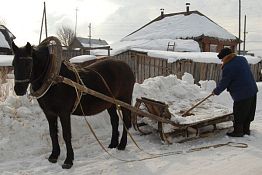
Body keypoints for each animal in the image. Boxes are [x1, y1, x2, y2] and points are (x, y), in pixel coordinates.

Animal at [11, 40, 136, 168]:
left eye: (28, 64)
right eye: (13, 64)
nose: (18, 89)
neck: (53, 80)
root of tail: (126, 66)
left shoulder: (64, 113)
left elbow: (66, 135)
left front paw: (68, 161)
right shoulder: (49, 113)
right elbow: (53, 133)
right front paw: (54, 156)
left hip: (124, 99)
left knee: (126, 120)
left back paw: (122, 145)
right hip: (110, 103)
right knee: (114, 121)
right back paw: (113, 144)